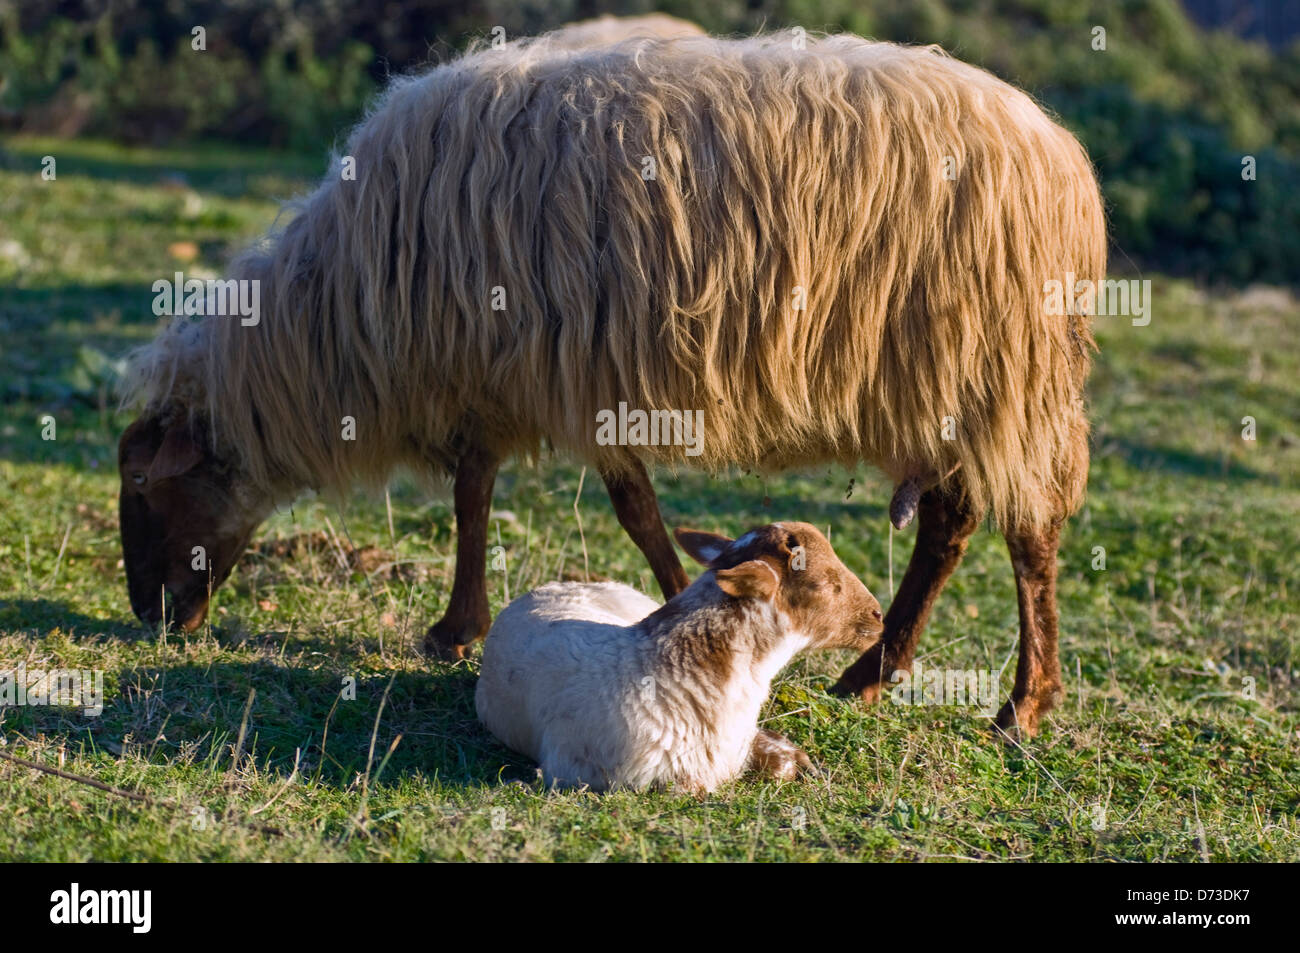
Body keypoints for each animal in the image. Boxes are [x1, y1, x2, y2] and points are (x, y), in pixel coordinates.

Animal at [119, 29, 1107, 738]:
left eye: (145, 482)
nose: (152, 618)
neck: (339, 314)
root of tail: (1059, 149)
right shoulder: (519, 379)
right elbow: (485, 496)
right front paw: (466, 625)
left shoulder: (559, 374)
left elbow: (611, 508)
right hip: (957, 390)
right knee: (951, 526)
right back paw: (870, 677)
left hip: (999, 377)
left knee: (1028, 536)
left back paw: (1023, 704)